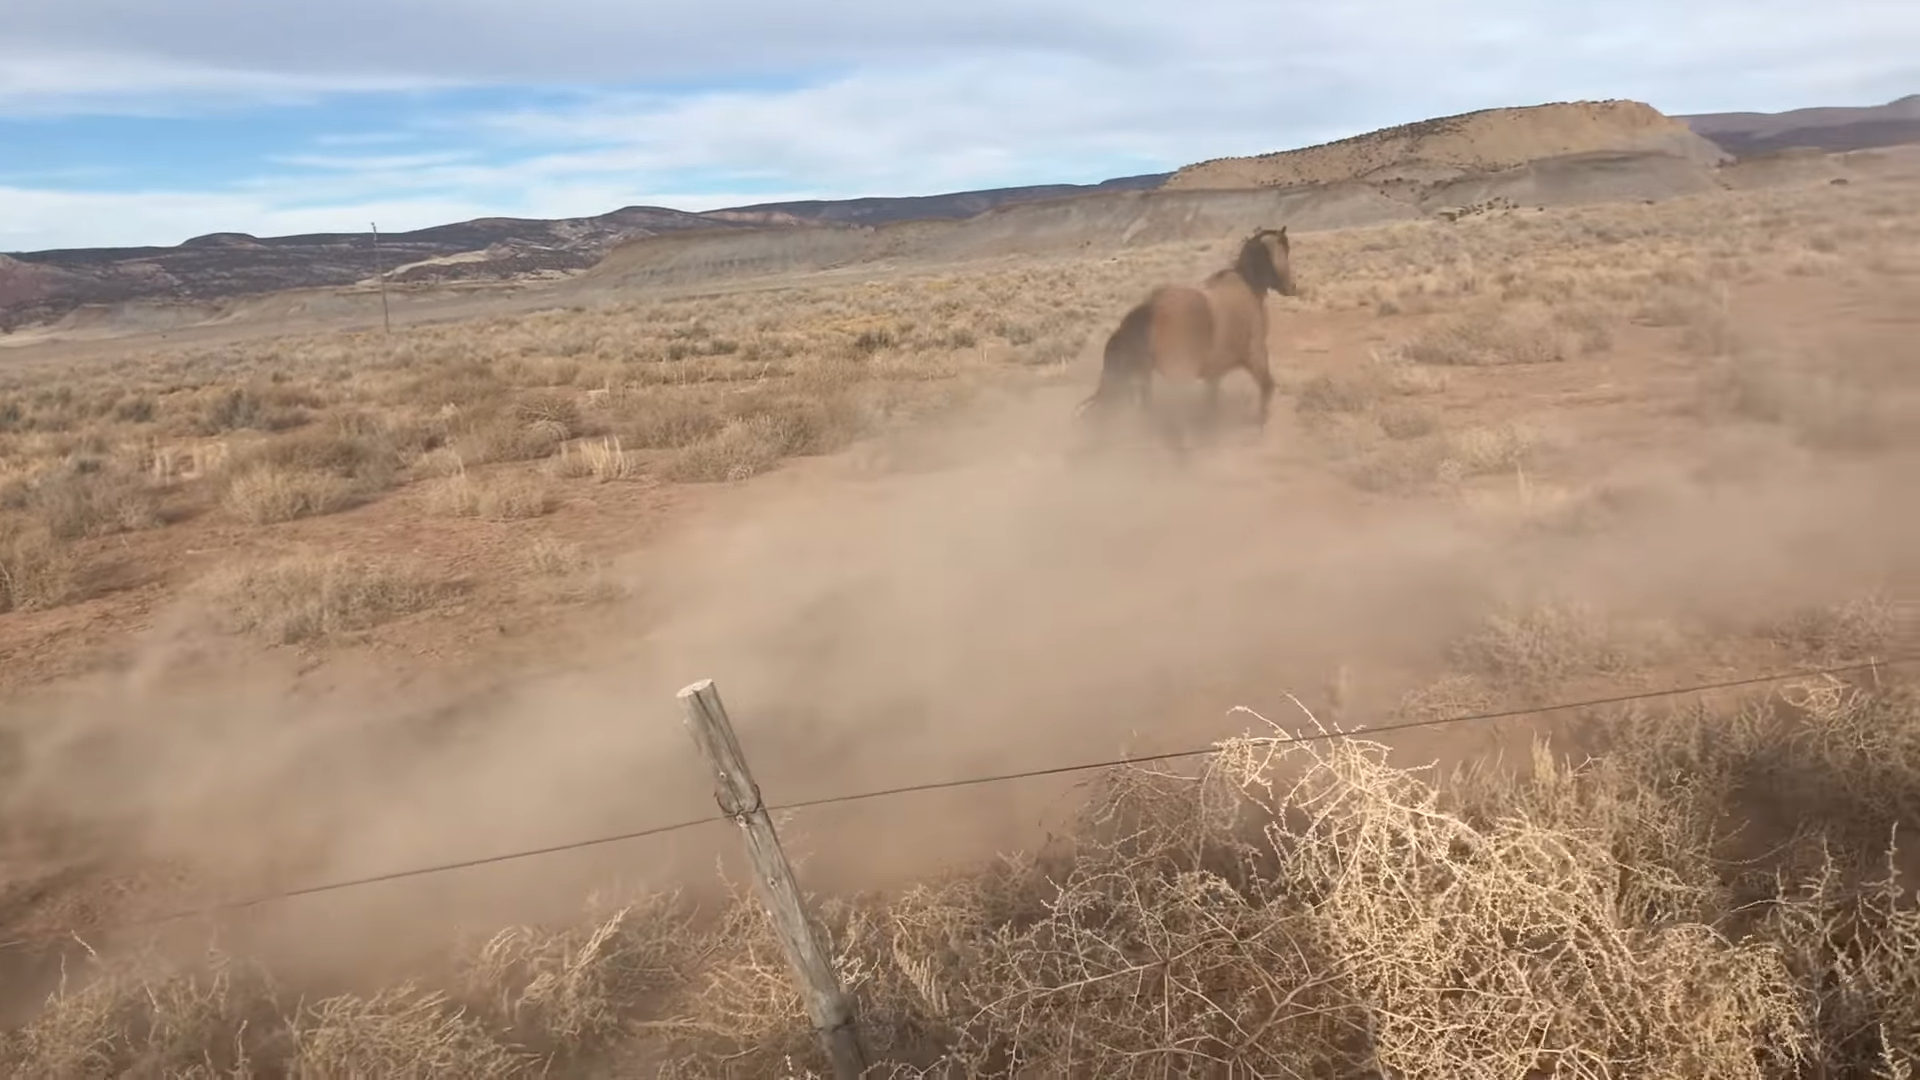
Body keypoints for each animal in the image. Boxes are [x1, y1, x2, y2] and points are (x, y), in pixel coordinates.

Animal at [1075, 226, 1297, 453]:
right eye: (1285, 248)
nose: (1291, 287)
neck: (1248, 287)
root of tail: (1150, 309)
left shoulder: (1215, 373)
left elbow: (1212, 402)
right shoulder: (1255, 355)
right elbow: (1267, 387)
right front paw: (1261, 426)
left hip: (1144, 377)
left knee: (1149, 412)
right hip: (1176, 377)